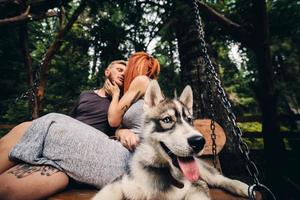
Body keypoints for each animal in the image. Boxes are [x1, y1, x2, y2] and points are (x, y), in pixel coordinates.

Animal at [92, 80, 250, 200]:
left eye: (189, 120)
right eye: (167, 120)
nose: (199, 141)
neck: (163, 171)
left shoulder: (196, 185)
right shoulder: (120, 183)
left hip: (204, 172)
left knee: (218, 178)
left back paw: (242, 187)